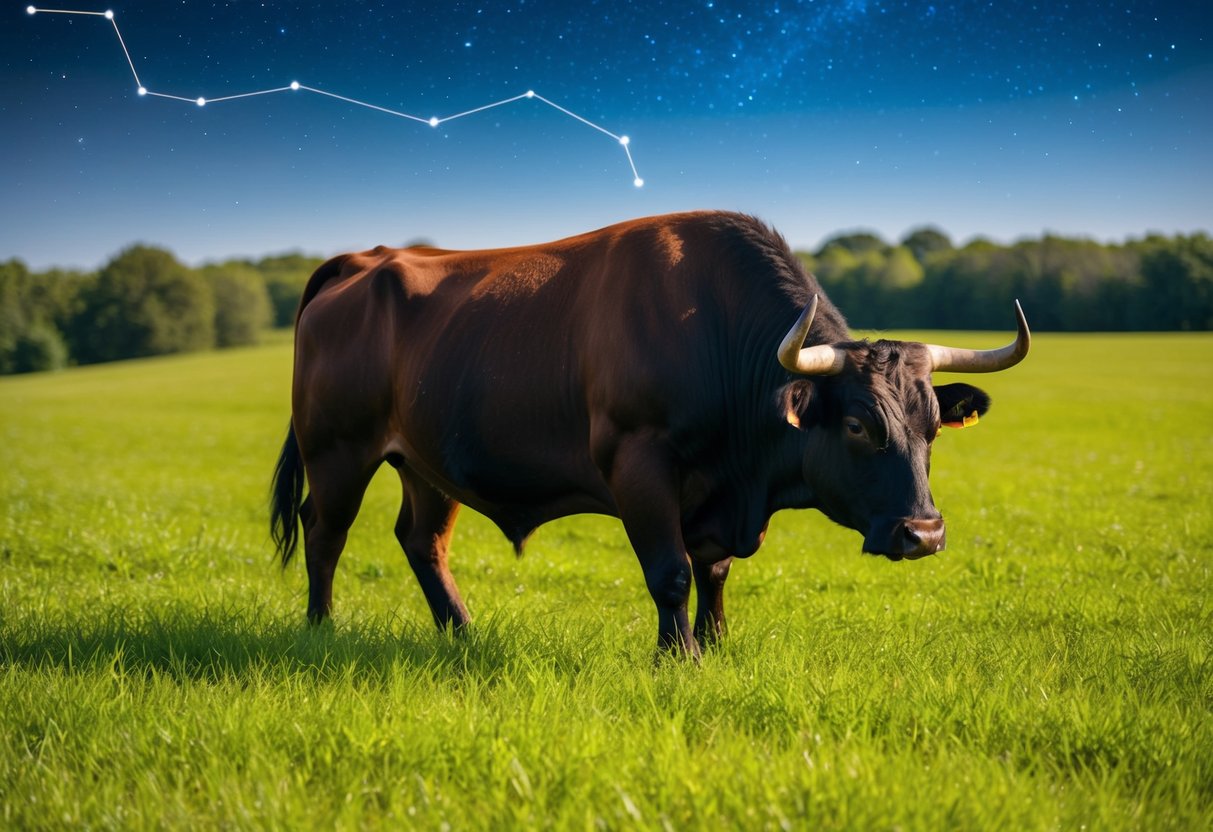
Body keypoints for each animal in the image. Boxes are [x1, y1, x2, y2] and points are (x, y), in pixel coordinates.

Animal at [270, 209, 1028, 659]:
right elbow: (670, 571)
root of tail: (365, 259)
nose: (923, 534)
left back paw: (461, 634)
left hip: (427, 463)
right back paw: (319, 628)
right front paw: (678, 657)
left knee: (421, 541)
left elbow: (713, 571)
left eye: (932, 427)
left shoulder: (717, 500)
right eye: (856, 424)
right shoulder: (639, 465)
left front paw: (715, 647)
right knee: (324, 531)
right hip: (337, 451)